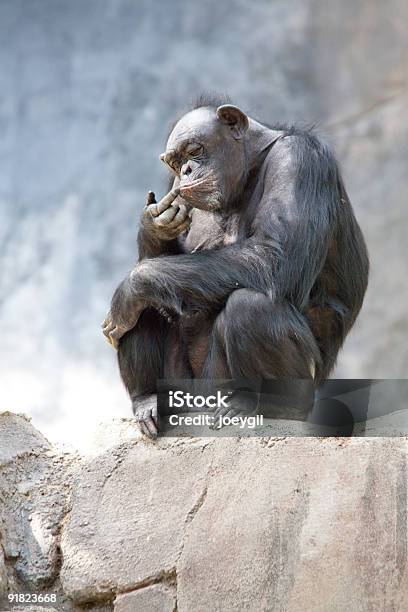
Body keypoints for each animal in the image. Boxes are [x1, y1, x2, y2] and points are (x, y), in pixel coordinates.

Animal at [103, 94, 370, 436]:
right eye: (175, 163)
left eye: (194, 150)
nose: (186, 170)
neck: (252, 164)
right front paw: (154, 223)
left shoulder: (300, 161)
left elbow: (273, 256)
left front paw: (130, 287)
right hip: (182, 390)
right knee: (146, 310)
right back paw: (147, 399)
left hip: (230, 385)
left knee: (250, 307)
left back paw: (274, 405)